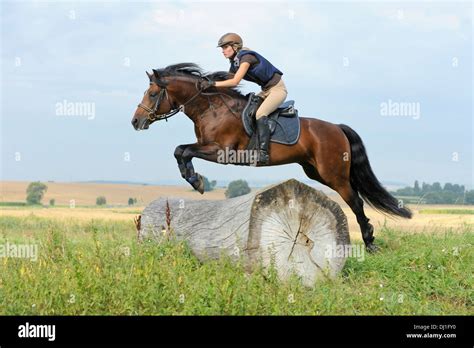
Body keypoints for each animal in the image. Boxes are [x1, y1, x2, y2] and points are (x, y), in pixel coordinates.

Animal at [132, 63, 412, 253]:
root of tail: (337, 128)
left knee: (355, 201)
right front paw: (194, 179)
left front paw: (195, 180)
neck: (210, 109)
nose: (136, 121)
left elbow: (184, 150)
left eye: (153, 94)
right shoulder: (208, 147)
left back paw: (370, 242)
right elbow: (180, 150)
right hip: (316, 172)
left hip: (334, 174)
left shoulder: (220, 151)